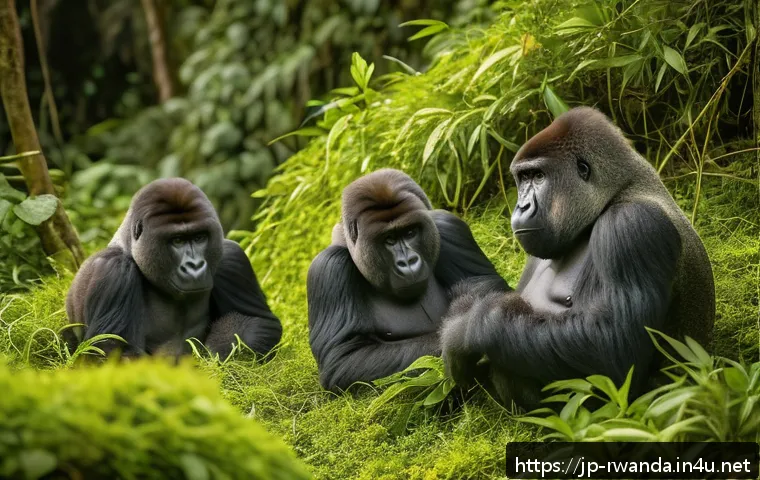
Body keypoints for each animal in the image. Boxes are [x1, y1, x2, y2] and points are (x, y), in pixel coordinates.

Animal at [65, 177, 282, 360]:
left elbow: (259, 320)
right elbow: (110, 352)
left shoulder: (230, 258)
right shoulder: (112, 270)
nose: (195, 266)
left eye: (199, 237)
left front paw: (223, 351)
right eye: (177, 240)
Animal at [307, 169, 511, 392]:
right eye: (389, 239)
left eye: (410, 232)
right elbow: (345, 355)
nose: (408, 262)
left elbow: (487, 289)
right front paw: (463, 340)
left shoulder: (447, 226)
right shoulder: (329, 267)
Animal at [441, 107, 715, 409]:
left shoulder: (631, 225)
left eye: (538, 176)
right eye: (523, 178)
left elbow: (614, 351)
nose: (521, 206)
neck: (619, 190)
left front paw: (468, 327)